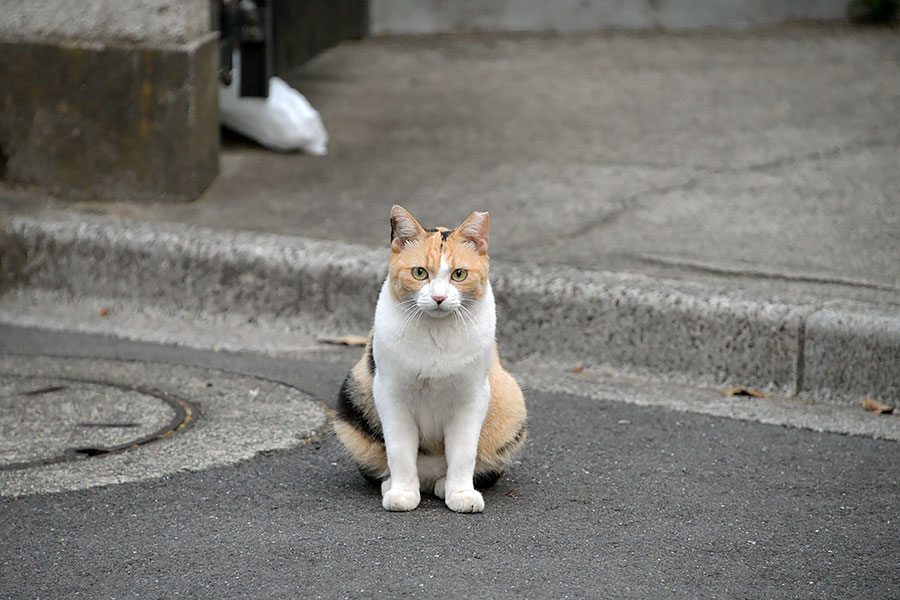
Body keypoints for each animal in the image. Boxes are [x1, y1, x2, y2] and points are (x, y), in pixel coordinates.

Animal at [334, 205, 524, 510]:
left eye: (459, 274)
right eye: (420, 272)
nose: (438, 298)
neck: (436, 334)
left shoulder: (473, 396)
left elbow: (464, 451)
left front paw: (461, 494)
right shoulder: (389, 393)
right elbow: (399, 450)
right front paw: (402, 492)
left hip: (512, 401)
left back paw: (444, 485)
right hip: (351, 401)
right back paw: (393, 484)